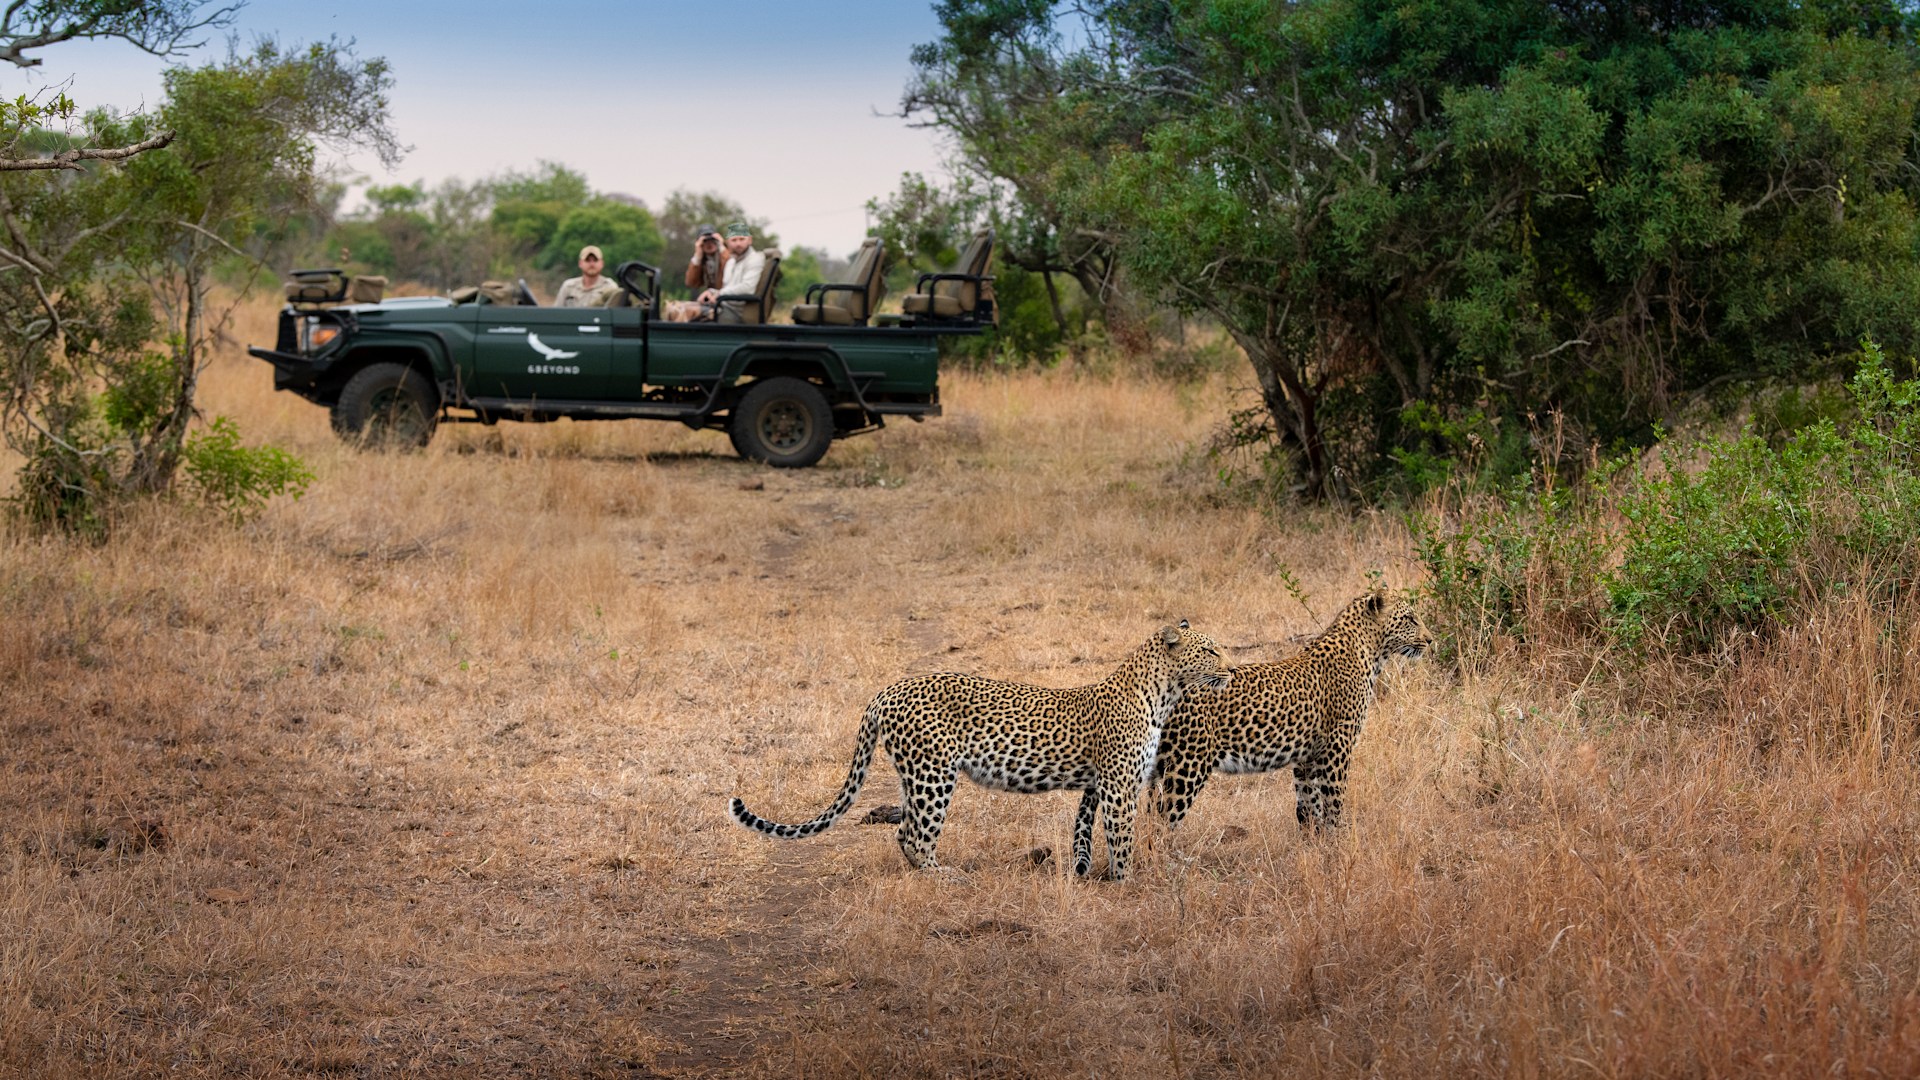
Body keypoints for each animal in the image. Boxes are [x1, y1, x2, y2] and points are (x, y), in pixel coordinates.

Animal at [729, 621, 1230, 881]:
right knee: (917, 835)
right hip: (933, 774)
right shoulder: (1119, 784)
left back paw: (925, 871)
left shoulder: (1104, 784)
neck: (1163, 694)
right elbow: (1123, 836)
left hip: (914, 775)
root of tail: (885, 692)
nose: (1230, 669)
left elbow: (1103, 832)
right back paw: (944, 875)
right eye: (1211, 651)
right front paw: (1127, 881)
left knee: (904, 831)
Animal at [1150, 589, 1432, 832]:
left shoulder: (1308, 757)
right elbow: (1334, 801)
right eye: (1409, 619)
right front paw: (1336, 841)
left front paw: (1314, 842)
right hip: (1187, 765)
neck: (1370, 652)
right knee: (1163, 820)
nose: (1430, 640)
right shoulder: (1338, 746)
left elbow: (1309, 805)